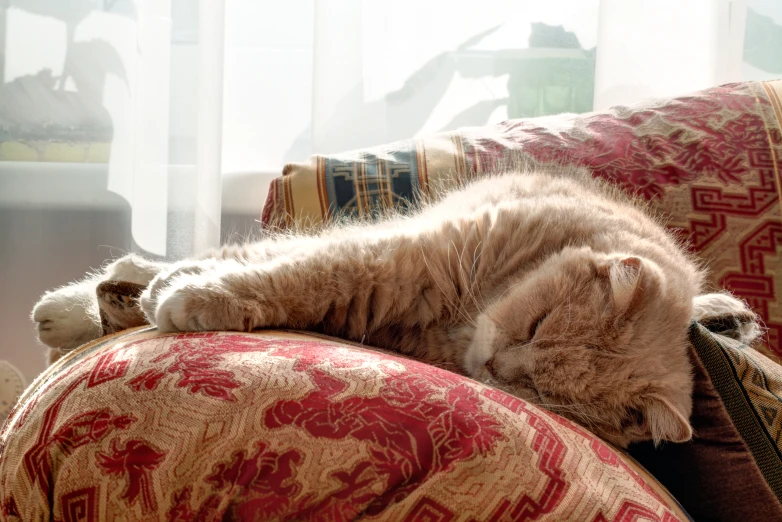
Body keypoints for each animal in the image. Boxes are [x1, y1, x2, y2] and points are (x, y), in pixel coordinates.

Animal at [33, 167, 764, 446]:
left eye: (533, 388)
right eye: (535, 326)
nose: (494, 363)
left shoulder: (370, 299)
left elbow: (286, 280)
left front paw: (191, 297)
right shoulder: (396, 259)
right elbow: (296, 272)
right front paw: (194, 294)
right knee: (210, 256)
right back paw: (89, 300)